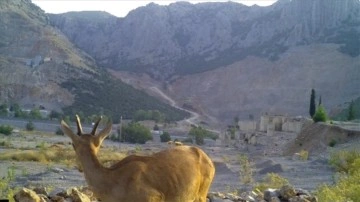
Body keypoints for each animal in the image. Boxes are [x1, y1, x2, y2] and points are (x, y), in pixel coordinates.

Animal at [60, 115, 215, 202]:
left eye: (73, 144)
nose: (79, 167)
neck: (113, 180)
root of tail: (206, 158)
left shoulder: (152, 198)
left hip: (201, 194)